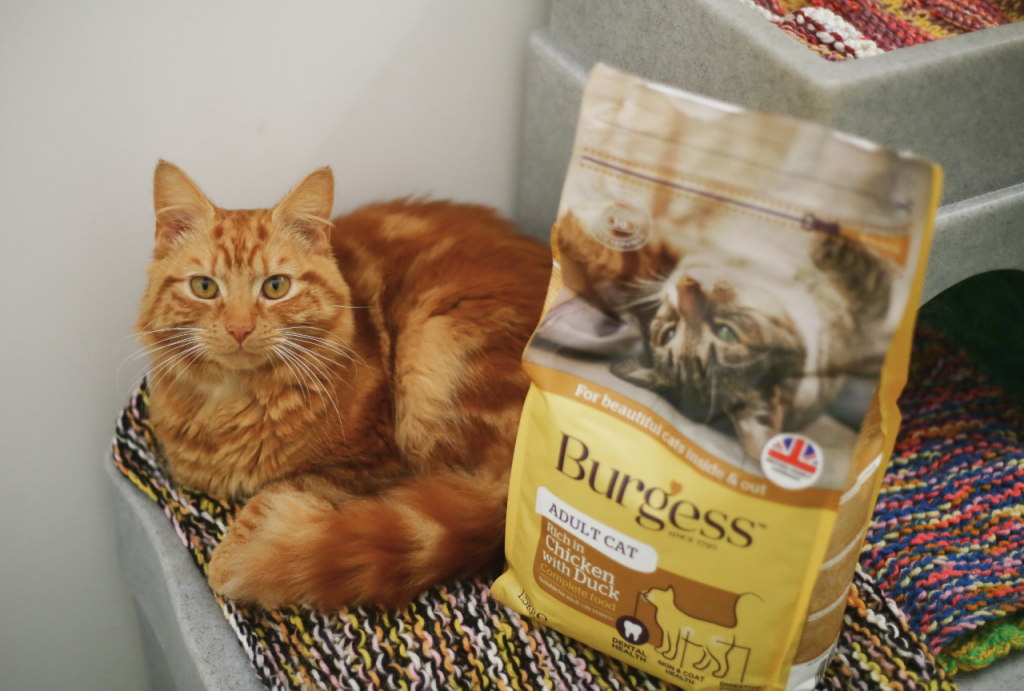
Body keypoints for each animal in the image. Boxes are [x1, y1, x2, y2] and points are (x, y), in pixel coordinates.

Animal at [136, 161, 551, 609]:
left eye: (276, 287)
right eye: (205, 286)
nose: (239, 328)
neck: (236, 403)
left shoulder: (374, 460)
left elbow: (279, 490)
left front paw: (231, 560)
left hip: (431, 350)